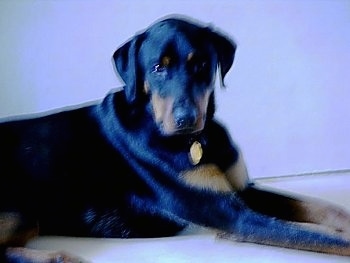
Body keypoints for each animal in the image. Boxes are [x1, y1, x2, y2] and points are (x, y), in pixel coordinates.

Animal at [0, 16, 350, 262]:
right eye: (157, 68)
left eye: (202, 64)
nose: (186, 119)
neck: (199, 141)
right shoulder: (232, 215)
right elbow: (323, 236)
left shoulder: (240, 191)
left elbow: (324, 209)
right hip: (19, 209)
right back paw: (59, 258)